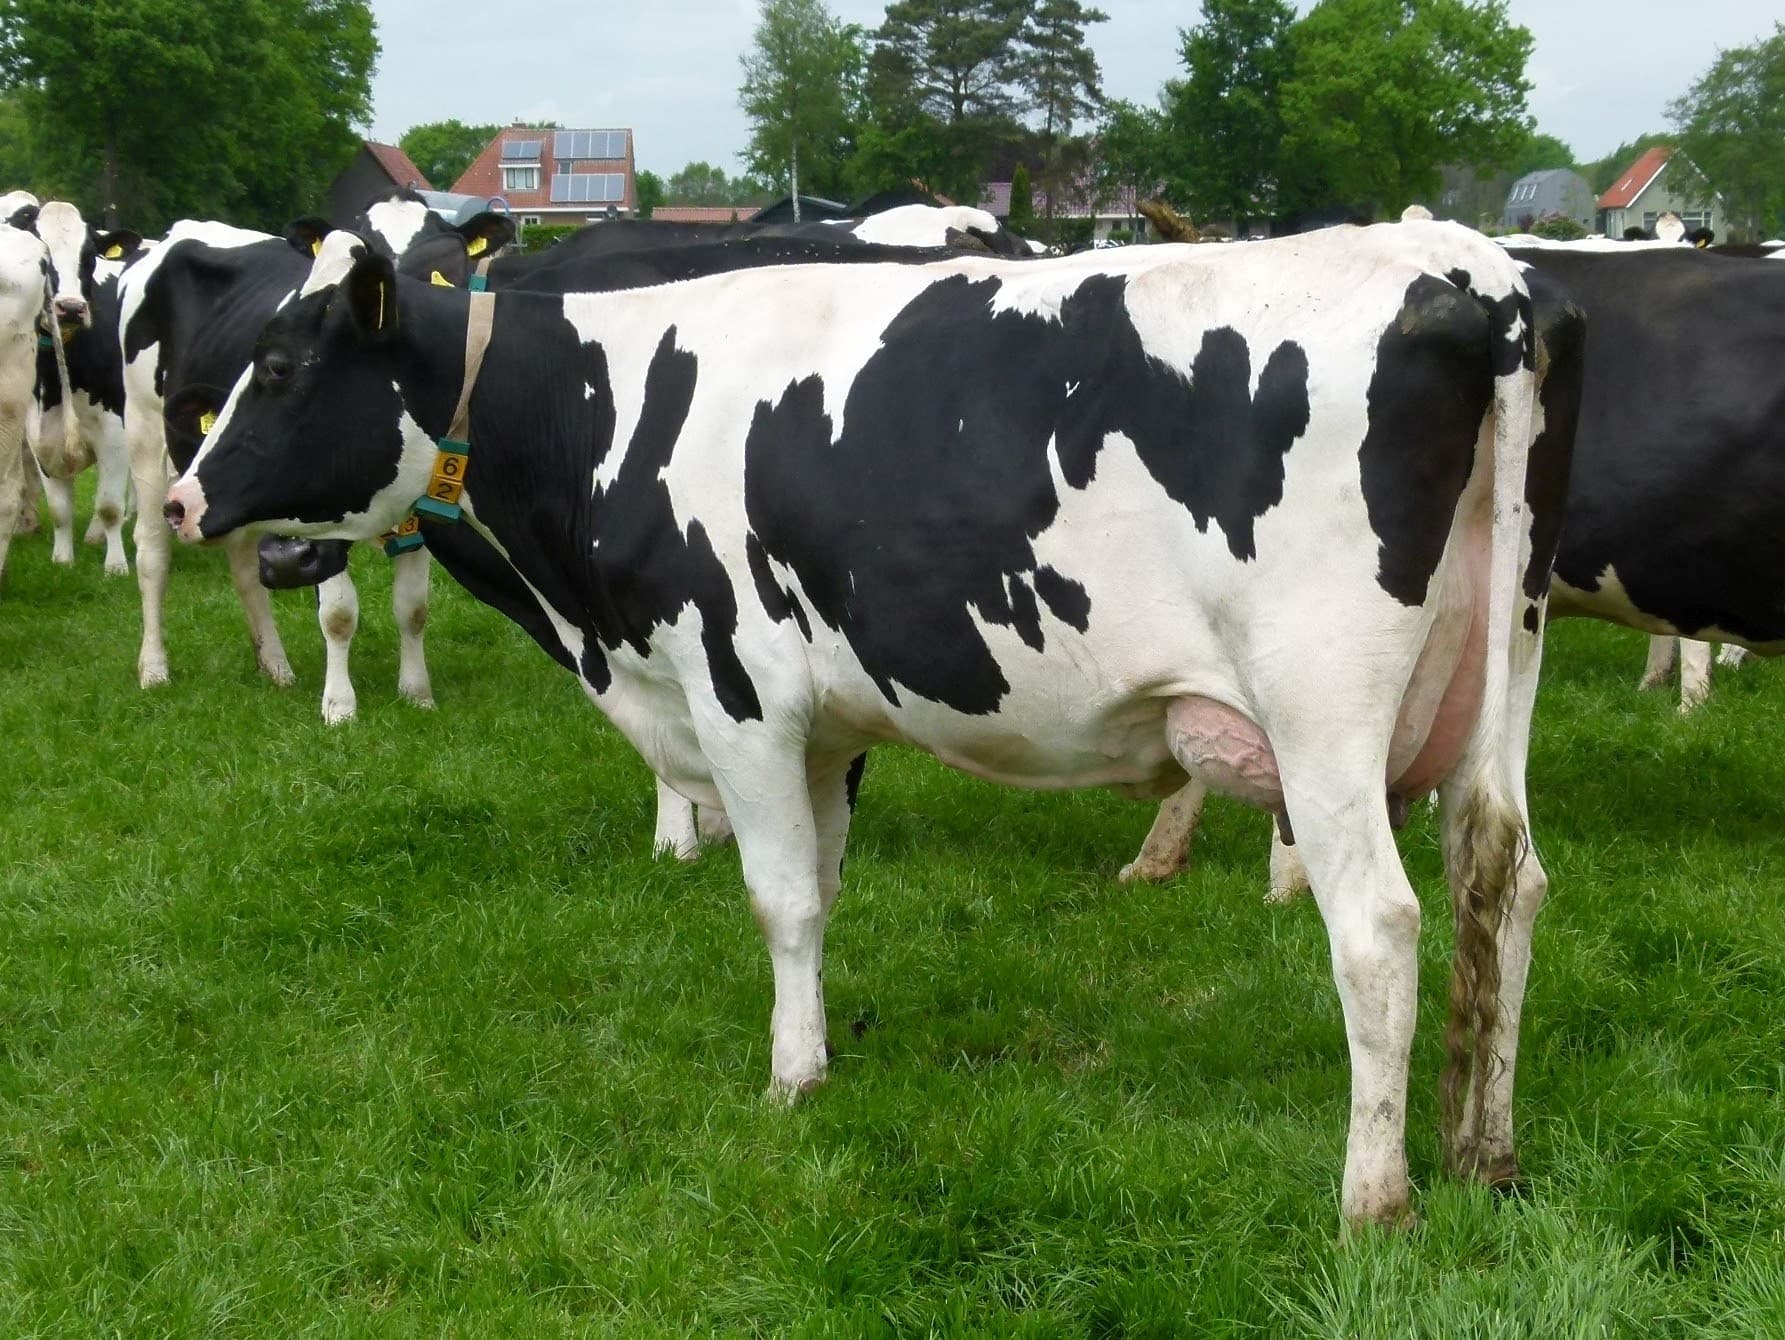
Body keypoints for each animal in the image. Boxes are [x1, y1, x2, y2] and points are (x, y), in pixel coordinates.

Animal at [115, 194, 513, 720]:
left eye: (441, 273)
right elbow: (339, 612)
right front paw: (340, 706)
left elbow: (413, 606)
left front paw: (416, 693)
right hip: (145, 433)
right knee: (153, 553)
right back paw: (154, 667)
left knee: (245, 564)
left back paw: (275, 666)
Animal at [166, 220, 1576, 1228]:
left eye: (281, 368)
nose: (182, 498)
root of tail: (1472, 276)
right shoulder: (825, 725)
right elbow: (825, 892)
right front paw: (820, 1044)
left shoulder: (737, 690)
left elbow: (780, 895)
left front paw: (790, 1079)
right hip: (1505, 665)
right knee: (1501, 879)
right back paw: (1485, 1151)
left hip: (1321, 705)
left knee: (1380, 926)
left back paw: (1374, 1195)